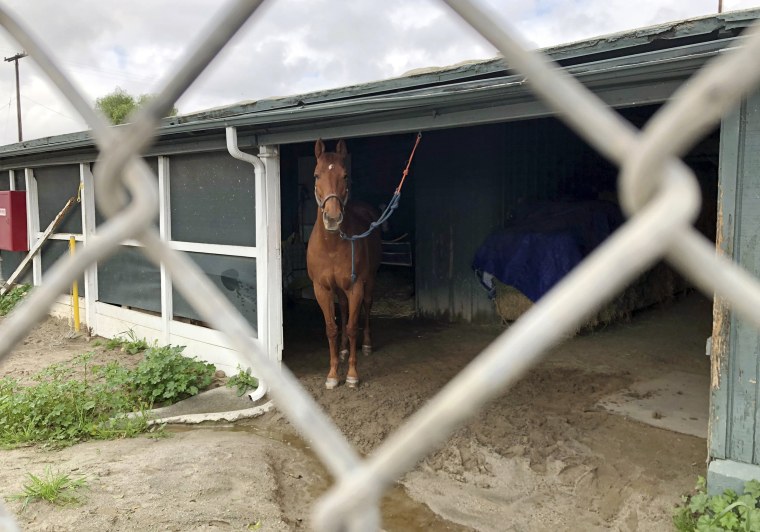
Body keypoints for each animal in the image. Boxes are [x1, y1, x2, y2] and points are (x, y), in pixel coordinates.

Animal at [308, 137, 382, 388]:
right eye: (316, 175)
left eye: (345, 175)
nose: (332, 218)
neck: (331, 246)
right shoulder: (321, 288)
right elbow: (332, 328)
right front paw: (332, 375)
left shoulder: (355, 286)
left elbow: (351, 327)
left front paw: (351, 374)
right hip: (339, 290)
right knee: (343, 308)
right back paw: (342, 351)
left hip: (369, 280)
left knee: (366, 307)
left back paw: (367, 345)